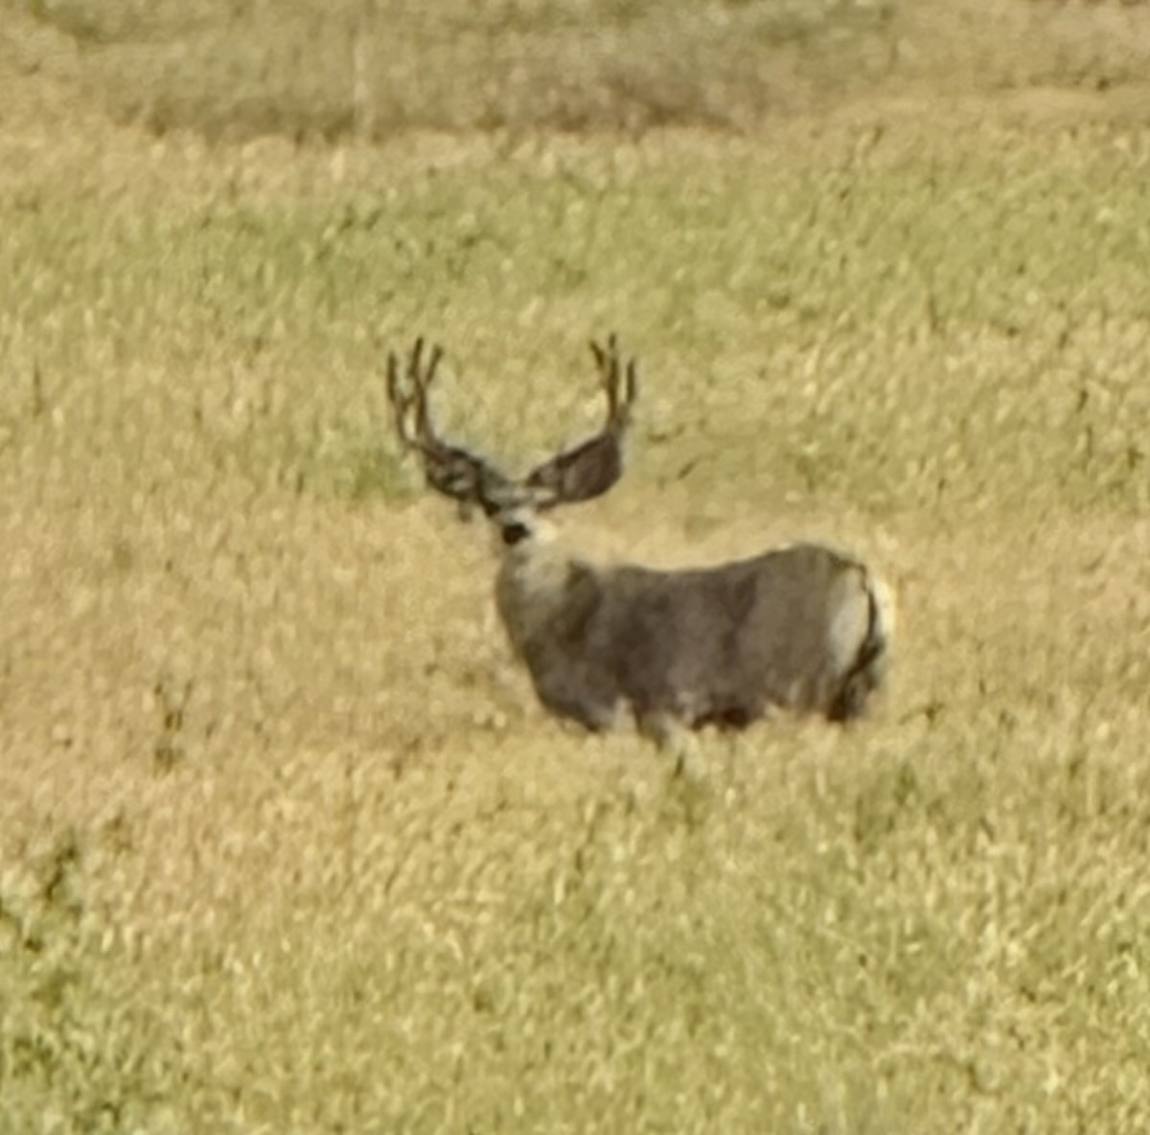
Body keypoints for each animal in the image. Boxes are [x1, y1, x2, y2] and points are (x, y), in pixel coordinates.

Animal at [387, 335, 894, 744]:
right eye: (490, 504)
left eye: (547, 504)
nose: (516, 529)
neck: (560, 620)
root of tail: (864, 577)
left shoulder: (636, 707)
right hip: (857, 695)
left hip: (796, 688)